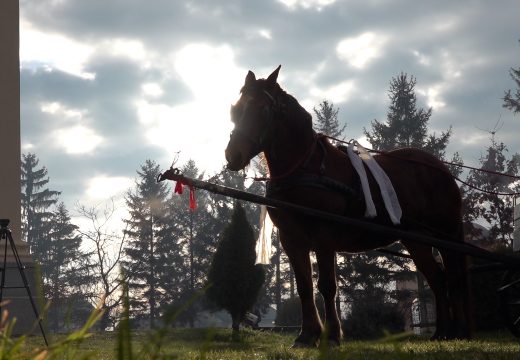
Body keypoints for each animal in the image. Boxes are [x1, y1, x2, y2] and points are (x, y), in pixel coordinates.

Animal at [223, 66, 472, 348]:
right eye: (236, 109)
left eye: (262, 110)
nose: (233, 156)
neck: (305, 167)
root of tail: (439, 168)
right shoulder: (292, 239)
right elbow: (304, 287)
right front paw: (307, 335)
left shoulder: (324, 236)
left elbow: (327, 286)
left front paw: (332, 336)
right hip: (417, 240)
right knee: (438, 280)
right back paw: (442, 331)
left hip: (447, 235)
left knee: (453, 277)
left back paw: (457, 330)